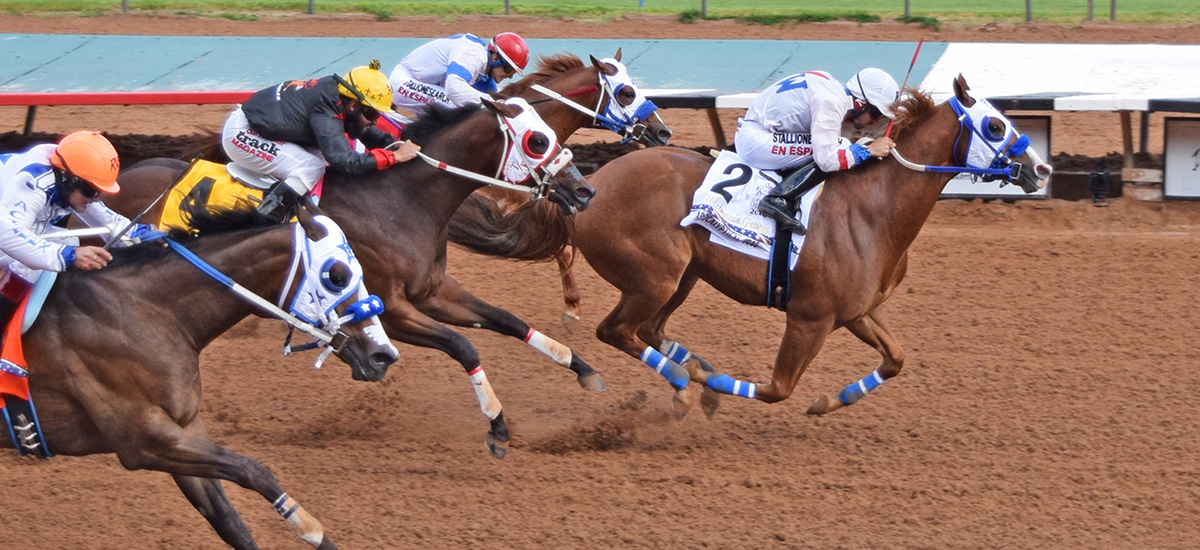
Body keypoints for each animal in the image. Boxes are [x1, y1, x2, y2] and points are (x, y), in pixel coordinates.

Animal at [1, 205, 399, 550]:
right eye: (337, 276)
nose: (383, 354)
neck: (145, 311)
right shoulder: (143, 440)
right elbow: (255, 471)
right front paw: (309, 528)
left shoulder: (184, 430)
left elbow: (229, 521)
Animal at [107, 97, 595, 458]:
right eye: (537, 140)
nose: (584, 189)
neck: (396, 198)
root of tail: (125, 174)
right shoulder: (390, 307)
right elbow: (463, 345)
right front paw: (497, 426)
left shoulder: (433, 292)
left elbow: (506, 320)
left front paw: (583, 368)